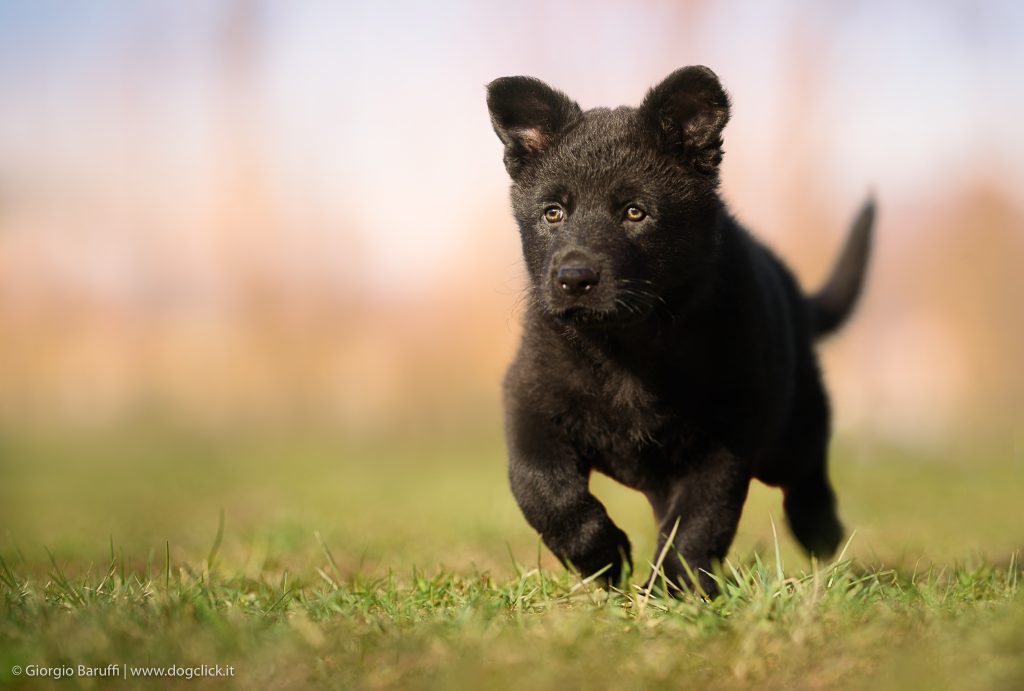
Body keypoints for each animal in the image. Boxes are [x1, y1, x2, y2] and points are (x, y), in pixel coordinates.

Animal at [485, 66, 872, 593]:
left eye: (635, 211)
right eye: (553, 213)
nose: (573, 279)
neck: (627, 348)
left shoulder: (726, 435)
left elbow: (701, 520)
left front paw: (677, 590)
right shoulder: (530, 402)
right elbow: (543, 490)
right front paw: (605, 558)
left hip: (789, 429)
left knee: (807, 469)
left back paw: (822, 532)